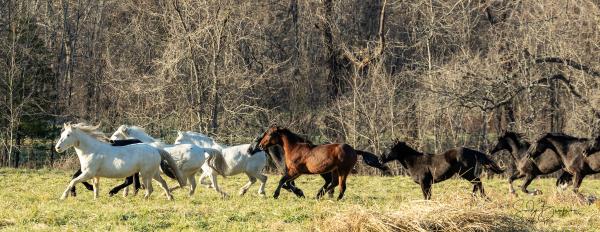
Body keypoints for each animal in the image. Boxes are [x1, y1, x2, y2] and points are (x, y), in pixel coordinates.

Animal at [56, 122, 184, 200]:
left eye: (68, 135)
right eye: (62, 134)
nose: (57, 148)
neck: (91, 150)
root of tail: (155, 149)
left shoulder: (88, 174)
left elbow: (73, 181)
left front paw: (63, 197)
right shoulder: (95, 176)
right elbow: (96, 188)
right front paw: (96, 199)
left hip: (145, 174)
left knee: (149, 189)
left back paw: (143, 199)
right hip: (154, 173)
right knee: (163, 183)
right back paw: (170, 198)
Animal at [254, 125, 386, 199]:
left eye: (270, 134)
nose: (260, 145)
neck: (295, 148)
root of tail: (354, 150)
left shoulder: (294, 171)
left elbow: (282, 181)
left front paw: (276, 195)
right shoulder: (297, 172)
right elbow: (288, 182)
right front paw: (300, 193)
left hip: (343, 170)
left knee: (341, 186)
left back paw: (333, 198)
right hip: (335, 170)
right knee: (334, 183)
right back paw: (319, 195)